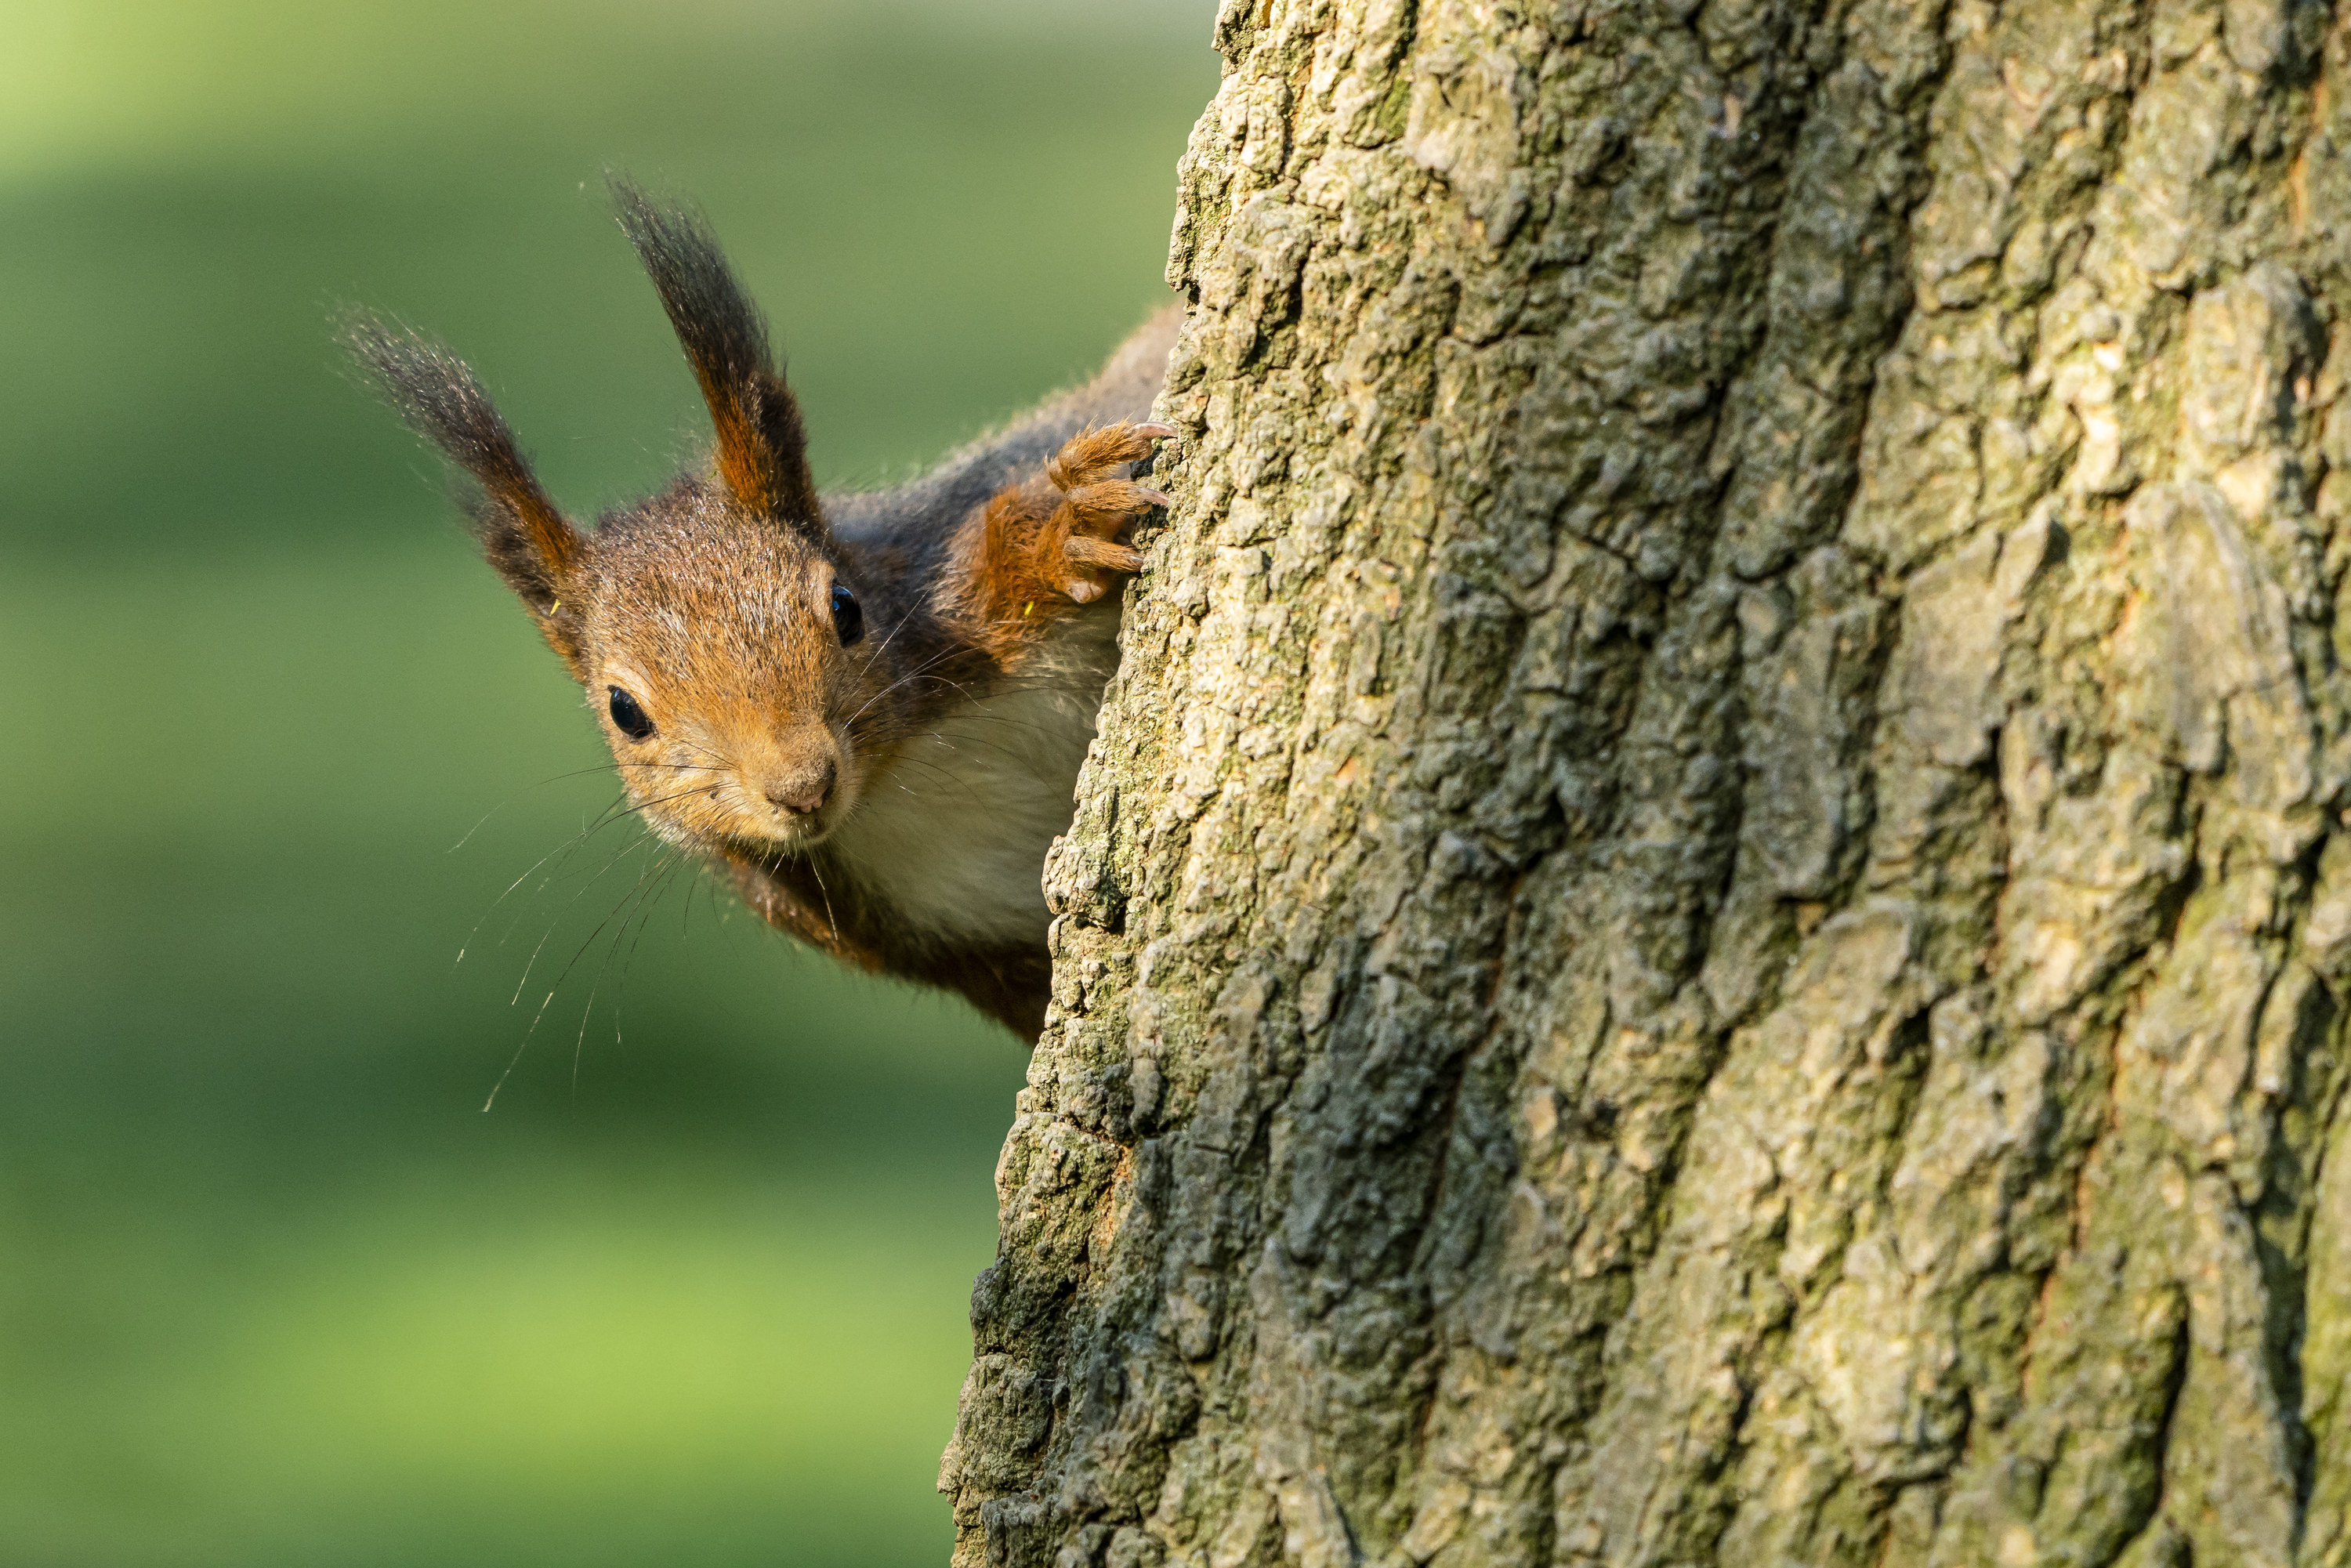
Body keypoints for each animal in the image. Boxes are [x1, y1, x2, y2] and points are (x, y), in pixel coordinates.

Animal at [346, 181, 1176, 1044]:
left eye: (847, 609)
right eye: (623, 711)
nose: (803, 785)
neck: (897, 783)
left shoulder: (946, 593)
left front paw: (1063, 535)